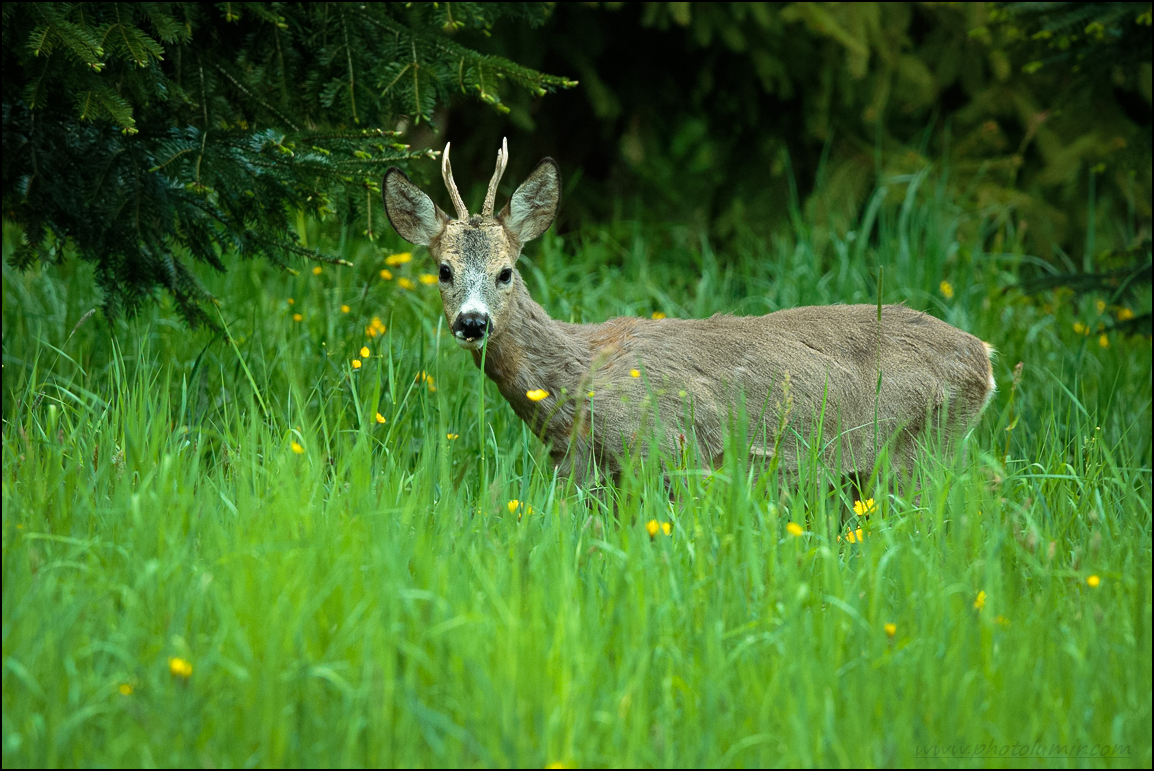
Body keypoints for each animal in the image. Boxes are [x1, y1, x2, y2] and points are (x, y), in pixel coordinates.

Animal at [382, 139, 997, 493]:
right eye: (443, 270)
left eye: (506, 270)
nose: (472, 322)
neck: (572, 384)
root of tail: (984, 359)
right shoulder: (577, 468)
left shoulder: (661, 447)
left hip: (917, 446)